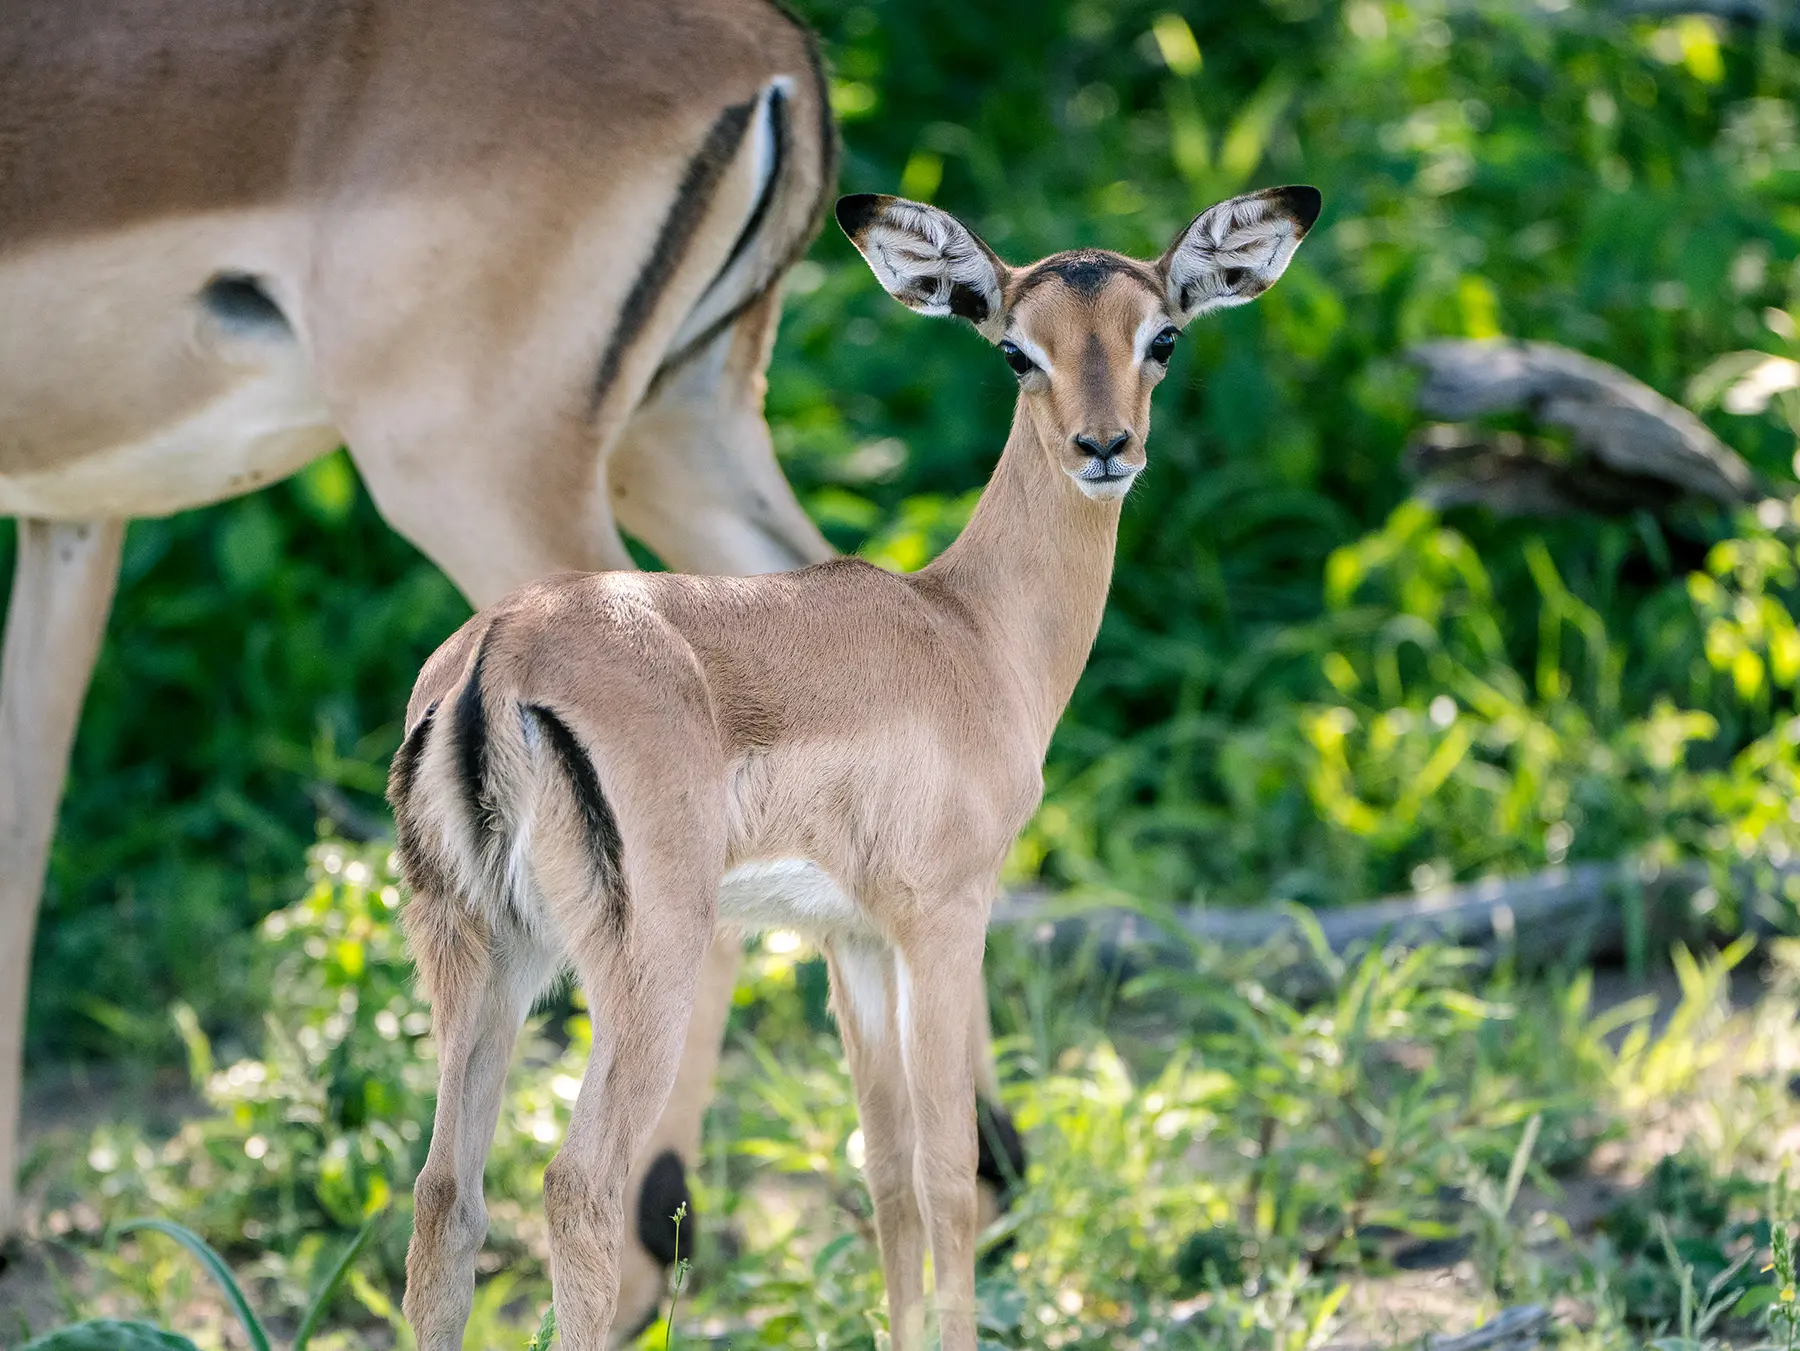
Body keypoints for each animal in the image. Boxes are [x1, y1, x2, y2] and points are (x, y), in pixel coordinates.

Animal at [0, 0, 976, 1334]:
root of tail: (776, 50)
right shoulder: (72, 511)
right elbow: (22, 822)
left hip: (491, 488)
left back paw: (646, 1275)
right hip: (686, 430)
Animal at [389, 183, 1321, 1349]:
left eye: (1163, 337)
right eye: (1015, 349)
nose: (1103, 446)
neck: (970, 629)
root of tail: (498, 658)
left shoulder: (852, 939)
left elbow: (885, 1173)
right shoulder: (945, 919)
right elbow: (950, 1169)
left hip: (482, 953)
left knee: (443, 1199)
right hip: (648, 959)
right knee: (577, 1183)